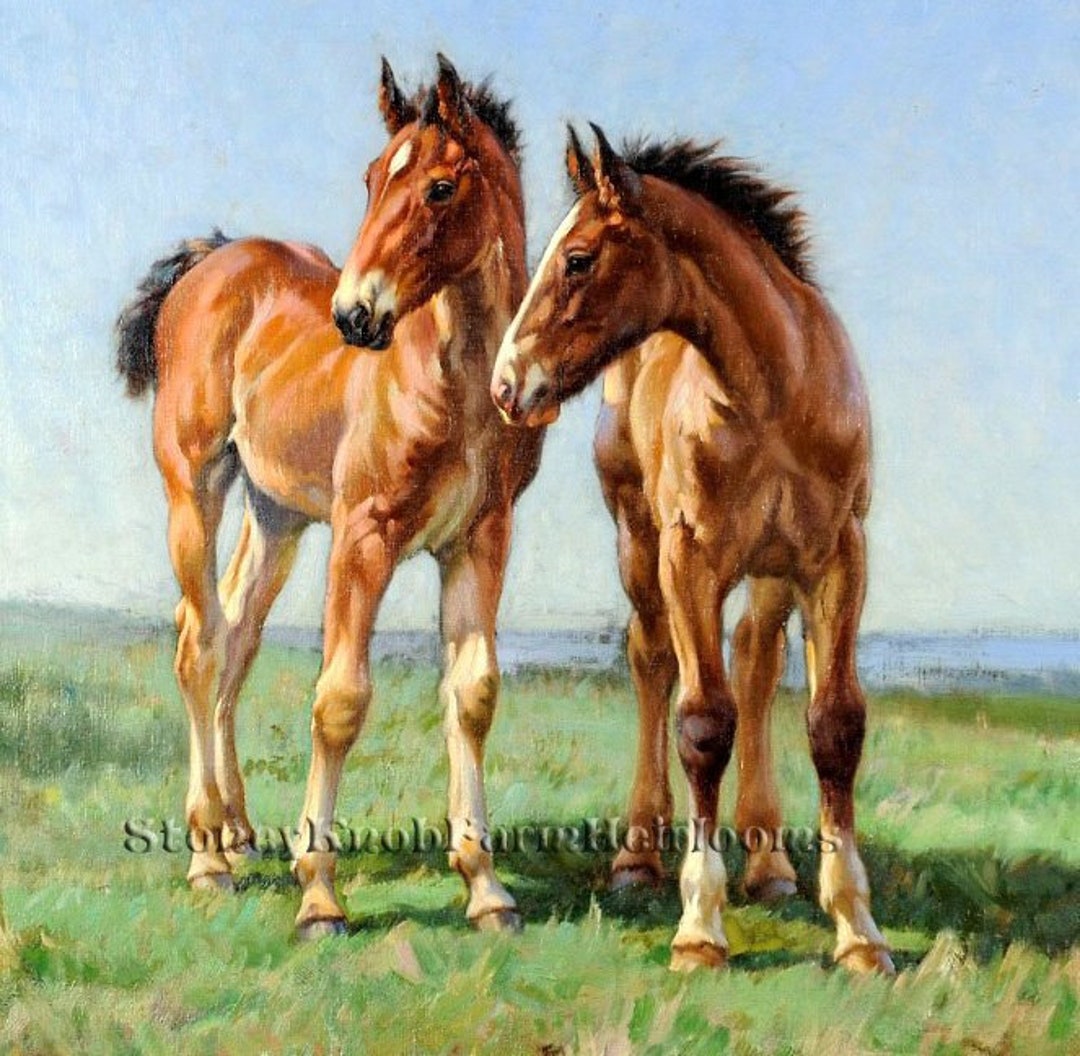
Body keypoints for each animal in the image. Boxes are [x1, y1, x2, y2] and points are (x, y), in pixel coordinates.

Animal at [116, 55, 543, 938]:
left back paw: (240, 833)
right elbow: (341, 698)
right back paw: (208, 857)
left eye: (441, 187)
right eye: (372, 178)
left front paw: (487, 890)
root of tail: (211, 259)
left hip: (276, 515)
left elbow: (473, 694)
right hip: (195, 486)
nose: (355, 314)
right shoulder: (364, 536)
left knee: (237, 635)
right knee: (198, 642)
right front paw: (319, 896)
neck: (455, 385)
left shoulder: (480, 539)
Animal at [491, 125, 894, 974]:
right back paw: (639, 857)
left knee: (758, 660)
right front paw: (700, 930)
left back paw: (770, 865)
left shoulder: (838, 560)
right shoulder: (689, 560)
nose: (507, 387)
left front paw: (858, 932)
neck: (776, 394)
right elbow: (703, 723)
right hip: (637, 542)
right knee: (651, 660)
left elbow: (834, 725)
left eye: (578, 258)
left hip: (771, 574)